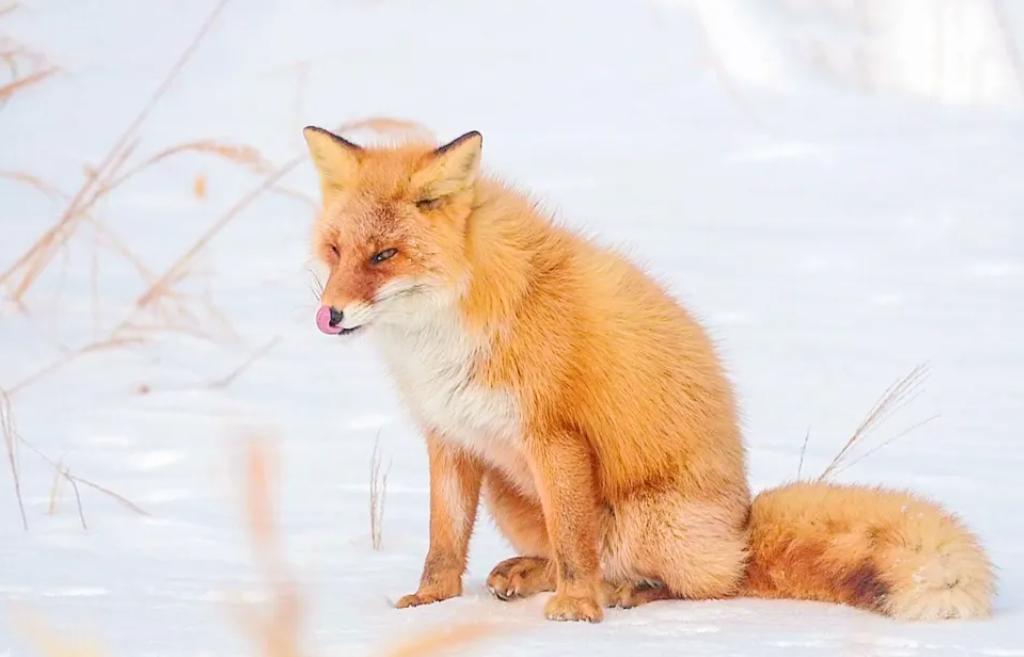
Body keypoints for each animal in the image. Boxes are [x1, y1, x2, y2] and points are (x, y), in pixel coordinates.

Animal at [301, 125, 991, 622]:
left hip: (644, 519)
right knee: (571, 555)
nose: (328, 316)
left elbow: (574, 545)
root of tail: (743, 527)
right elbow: (444, 541)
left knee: (702, 587)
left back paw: (628, 593)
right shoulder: (450, 435)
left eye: (385, 256)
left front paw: (579, 611)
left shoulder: (557, 438)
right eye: (335, 250)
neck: (448, 332)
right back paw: (531, 574)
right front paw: (430, 605)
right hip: (508, 489)